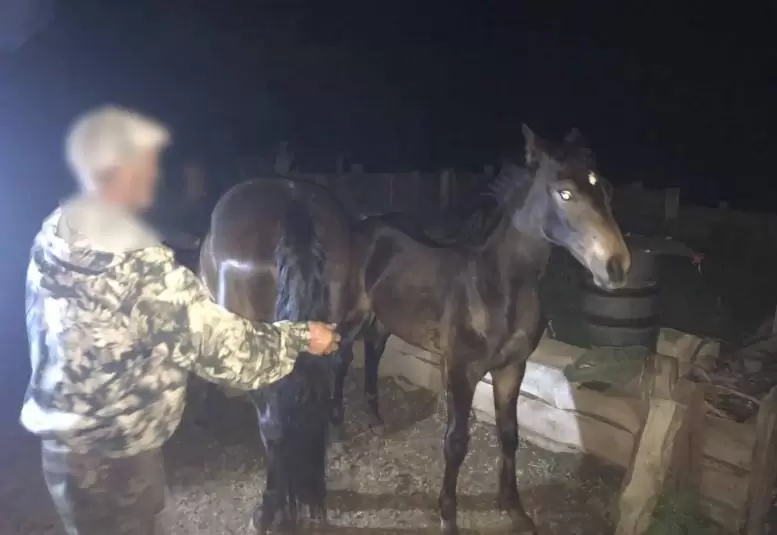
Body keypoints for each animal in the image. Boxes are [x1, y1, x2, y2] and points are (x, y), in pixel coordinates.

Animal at [333, 125, 630, 534]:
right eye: (564, 193)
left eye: (605, 189)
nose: (616, 266)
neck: (497, 287)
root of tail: (364, 224)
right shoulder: (462, 370)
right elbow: (456, 442)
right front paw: (448, 514)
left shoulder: (512, 368)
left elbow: (510, 434)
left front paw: (514, 507)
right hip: (354, 313)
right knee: (340, 358)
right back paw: (338, 430)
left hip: (383, 318)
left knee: (373, 350)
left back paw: (376, 420)